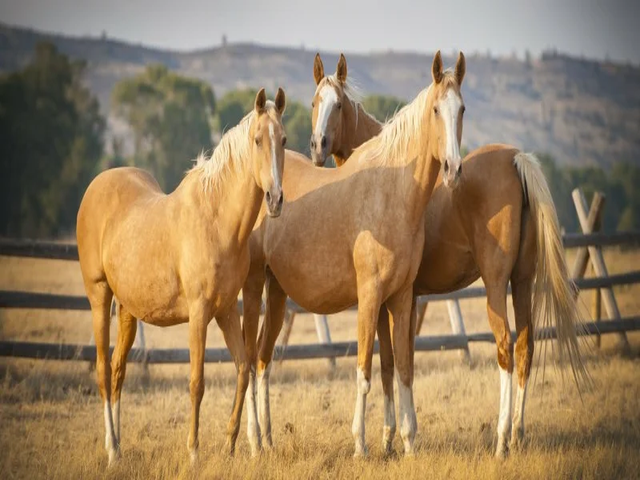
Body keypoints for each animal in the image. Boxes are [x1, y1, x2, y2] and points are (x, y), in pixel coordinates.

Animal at [76, 88, 287, 465]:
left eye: (284, 140)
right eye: (258, 140)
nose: (275, 200)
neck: (217, 221)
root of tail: (96, 186)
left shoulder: (226, 311)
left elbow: (242, 369)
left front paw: (230, 443)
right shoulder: (199, 314)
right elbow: (197, 382)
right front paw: (194, 453)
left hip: (128, 309)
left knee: (117, 371)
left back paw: (118, 446)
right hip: (99, 296)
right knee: (102, 369)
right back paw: (112, 450)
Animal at [241, 51, 467, 457]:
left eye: (461, 109)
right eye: (436, 109)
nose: (454, 169)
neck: (392, 192)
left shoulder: (402, 297)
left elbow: (403, 369)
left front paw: (407, 442)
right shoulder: (370, 297)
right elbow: (365, 371)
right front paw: (361, 444)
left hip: (277, 294)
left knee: (264, 361)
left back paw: (267, 440)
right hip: (253, 290)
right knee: (250, 361)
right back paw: (253, 441)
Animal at [310, 53, 589, 458]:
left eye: (340, 105)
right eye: (316, 101)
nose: (317, 146)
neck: (391, 173)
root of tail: (516, 159)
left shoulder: (391, 298)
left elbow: (391, 363)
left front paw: (389, 438)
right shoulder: (403, 298)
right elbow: (398, 361)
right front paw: (396, 435)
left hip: (496, 284)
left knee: (505, 346)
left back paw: (501, 440)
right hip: (521, 281)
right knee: (525, 346)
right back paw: (518, 434)